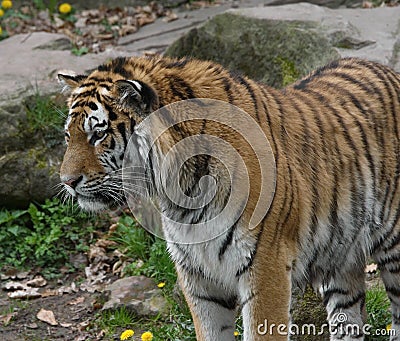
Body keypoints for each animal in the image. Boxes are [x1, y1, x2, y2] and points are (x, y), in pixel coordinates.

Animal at [57, 56, 400, 340]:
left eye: (98, 134)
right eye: (68, 135)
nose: (67, 181)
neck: (181, 192)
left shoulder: (266, 268)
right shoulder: (198, 277)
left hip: (394, 249)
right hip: (340, 258)